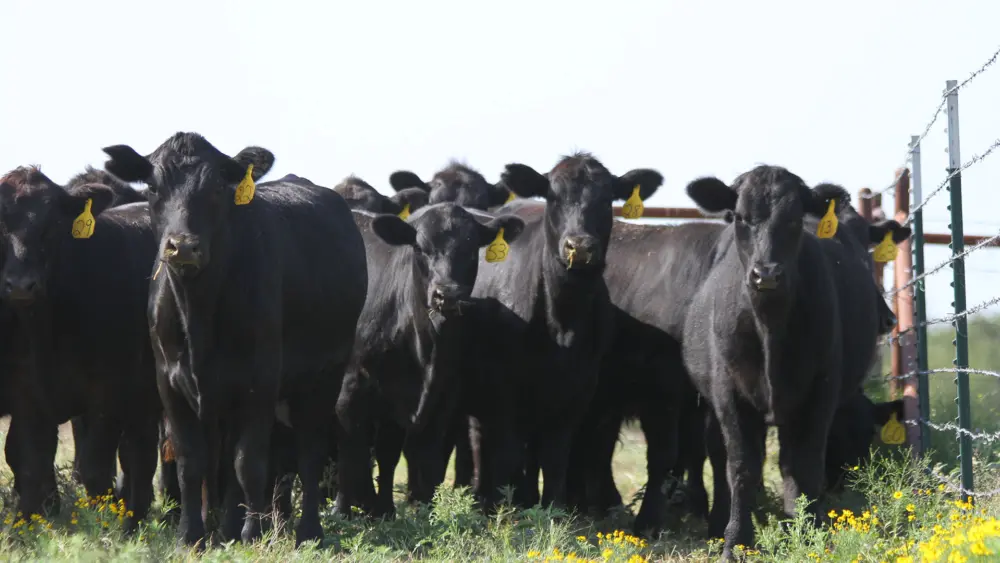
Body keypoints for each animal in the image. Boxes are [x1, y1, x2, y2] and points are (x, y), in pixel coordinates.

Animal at [0, 166, 159, 528]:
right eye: (0, 225)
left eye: (52, 226)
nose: (20, 285)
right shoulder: (28, 395)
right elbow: (28, 462)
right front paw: (28, 524)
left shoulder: (108, 394)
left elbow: (95, 467)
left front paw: (102, 524)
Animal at [101, 132, 368, 547]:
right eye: (153, 187)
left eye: (216, 188)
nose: (183, 245)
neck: (199, 308)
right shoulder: (169, 382)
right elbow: (192, 462)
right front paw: (190, 535)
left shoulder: (260, 380)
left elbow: (250, 463)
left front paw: (252, 533)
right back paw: (227, 527)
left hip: (325, 376)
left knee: (308, 453)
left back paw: (307, 530)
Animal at [333, 203, 525, 518]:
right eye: (420, 248)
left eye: (471, 248)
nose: (447, 294)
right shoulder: (350, 390)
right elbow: (350, 454)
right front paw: (342, 512)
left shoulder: (440, 397)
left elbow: (415, 458)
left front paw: (405, 512)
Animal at [465, 154, 662, 509]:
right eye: (553, 197)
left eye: (606, 199)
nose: (579, 246)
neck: (562, 323)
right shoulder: (505, 393)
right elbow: (507, 456)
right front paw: (507, 509)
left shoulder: (575, 394)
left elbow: (555, 460)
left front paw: (552, 510)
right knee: (480, 440)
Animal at [681, 165, 843, 559]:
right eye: (741, 216)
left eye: (795, 219)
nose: (766, 274)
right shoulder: (730, 395)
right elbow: (741, 468)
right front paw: (736, 542)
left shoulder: (822, 389)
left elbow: (806, 466)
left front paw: (810, 534)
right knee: (720, 456)